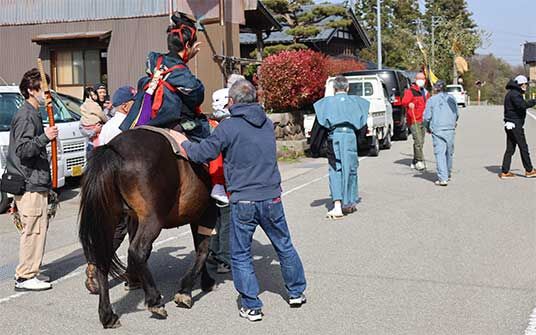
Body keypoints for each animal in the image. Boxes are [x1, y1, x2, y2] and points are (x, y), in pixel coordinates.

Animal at [77, 129, 218, 328]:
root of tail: (113, 149)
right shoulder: (207, 212)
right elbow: (203, 250)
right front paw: (188, 289)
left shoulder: (194, 216)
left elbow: (200, 248)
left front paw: (202, 281)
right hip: (152, 218)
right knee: (137, 250)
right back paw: (154, 300)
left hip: (109, 218)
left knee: (103, 257)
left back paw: (107, 314)